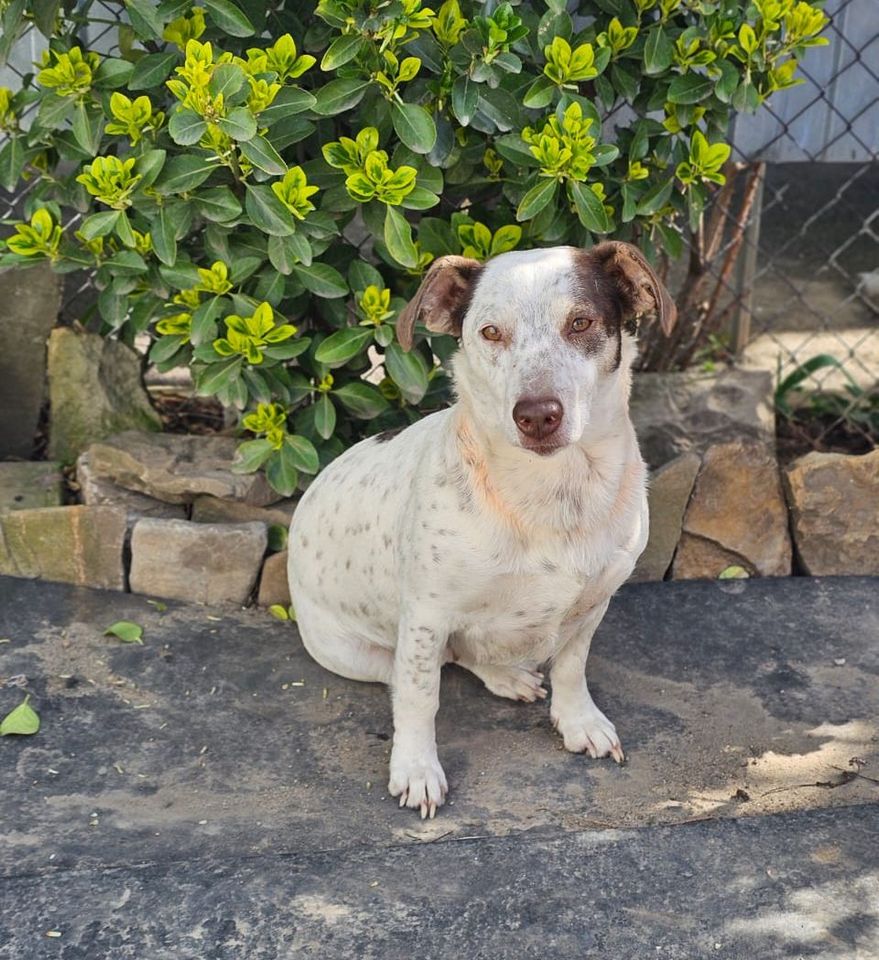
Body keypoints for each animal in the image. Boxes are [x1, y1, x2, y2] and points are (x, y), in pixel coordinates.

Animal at [288, 242, 672, 816]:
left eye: (581, 322)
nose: (536, 415)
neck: (551, 493)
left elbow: (571, 666)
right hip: (358, 653)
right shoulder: (426, 618)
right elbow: (419, 698)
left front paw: (578, 721)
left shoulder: (594, 602)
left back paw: (508, 675)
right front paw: (416, 768)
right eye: (490, 332)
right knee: (428, 670)